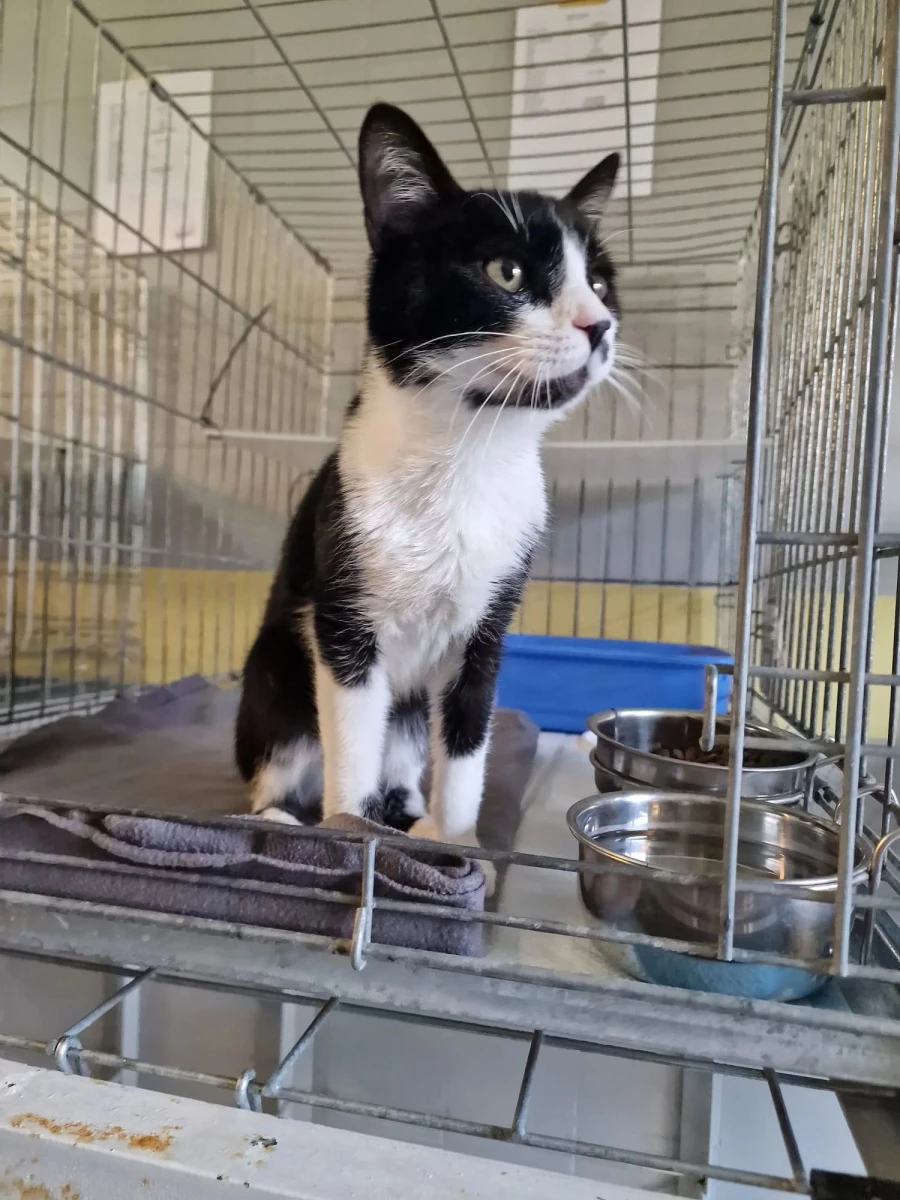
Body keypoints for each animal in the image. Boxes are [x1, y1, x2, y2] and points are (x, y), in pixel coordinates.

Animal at [235, 102, 620, 876]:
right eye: (506, 271)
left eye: (597, 283)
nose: (599, 327)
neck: (464, 456)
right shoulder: (343, 612)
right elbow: (352, 730)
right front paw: (349, 834)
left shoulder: (491, 619)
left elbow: (468, 732)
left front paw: (457, 840)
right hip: (275, 671)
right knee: (283, 754)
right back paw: (280, 816)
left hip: (410, 710)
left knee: (411, 736)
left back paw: (408, 810)